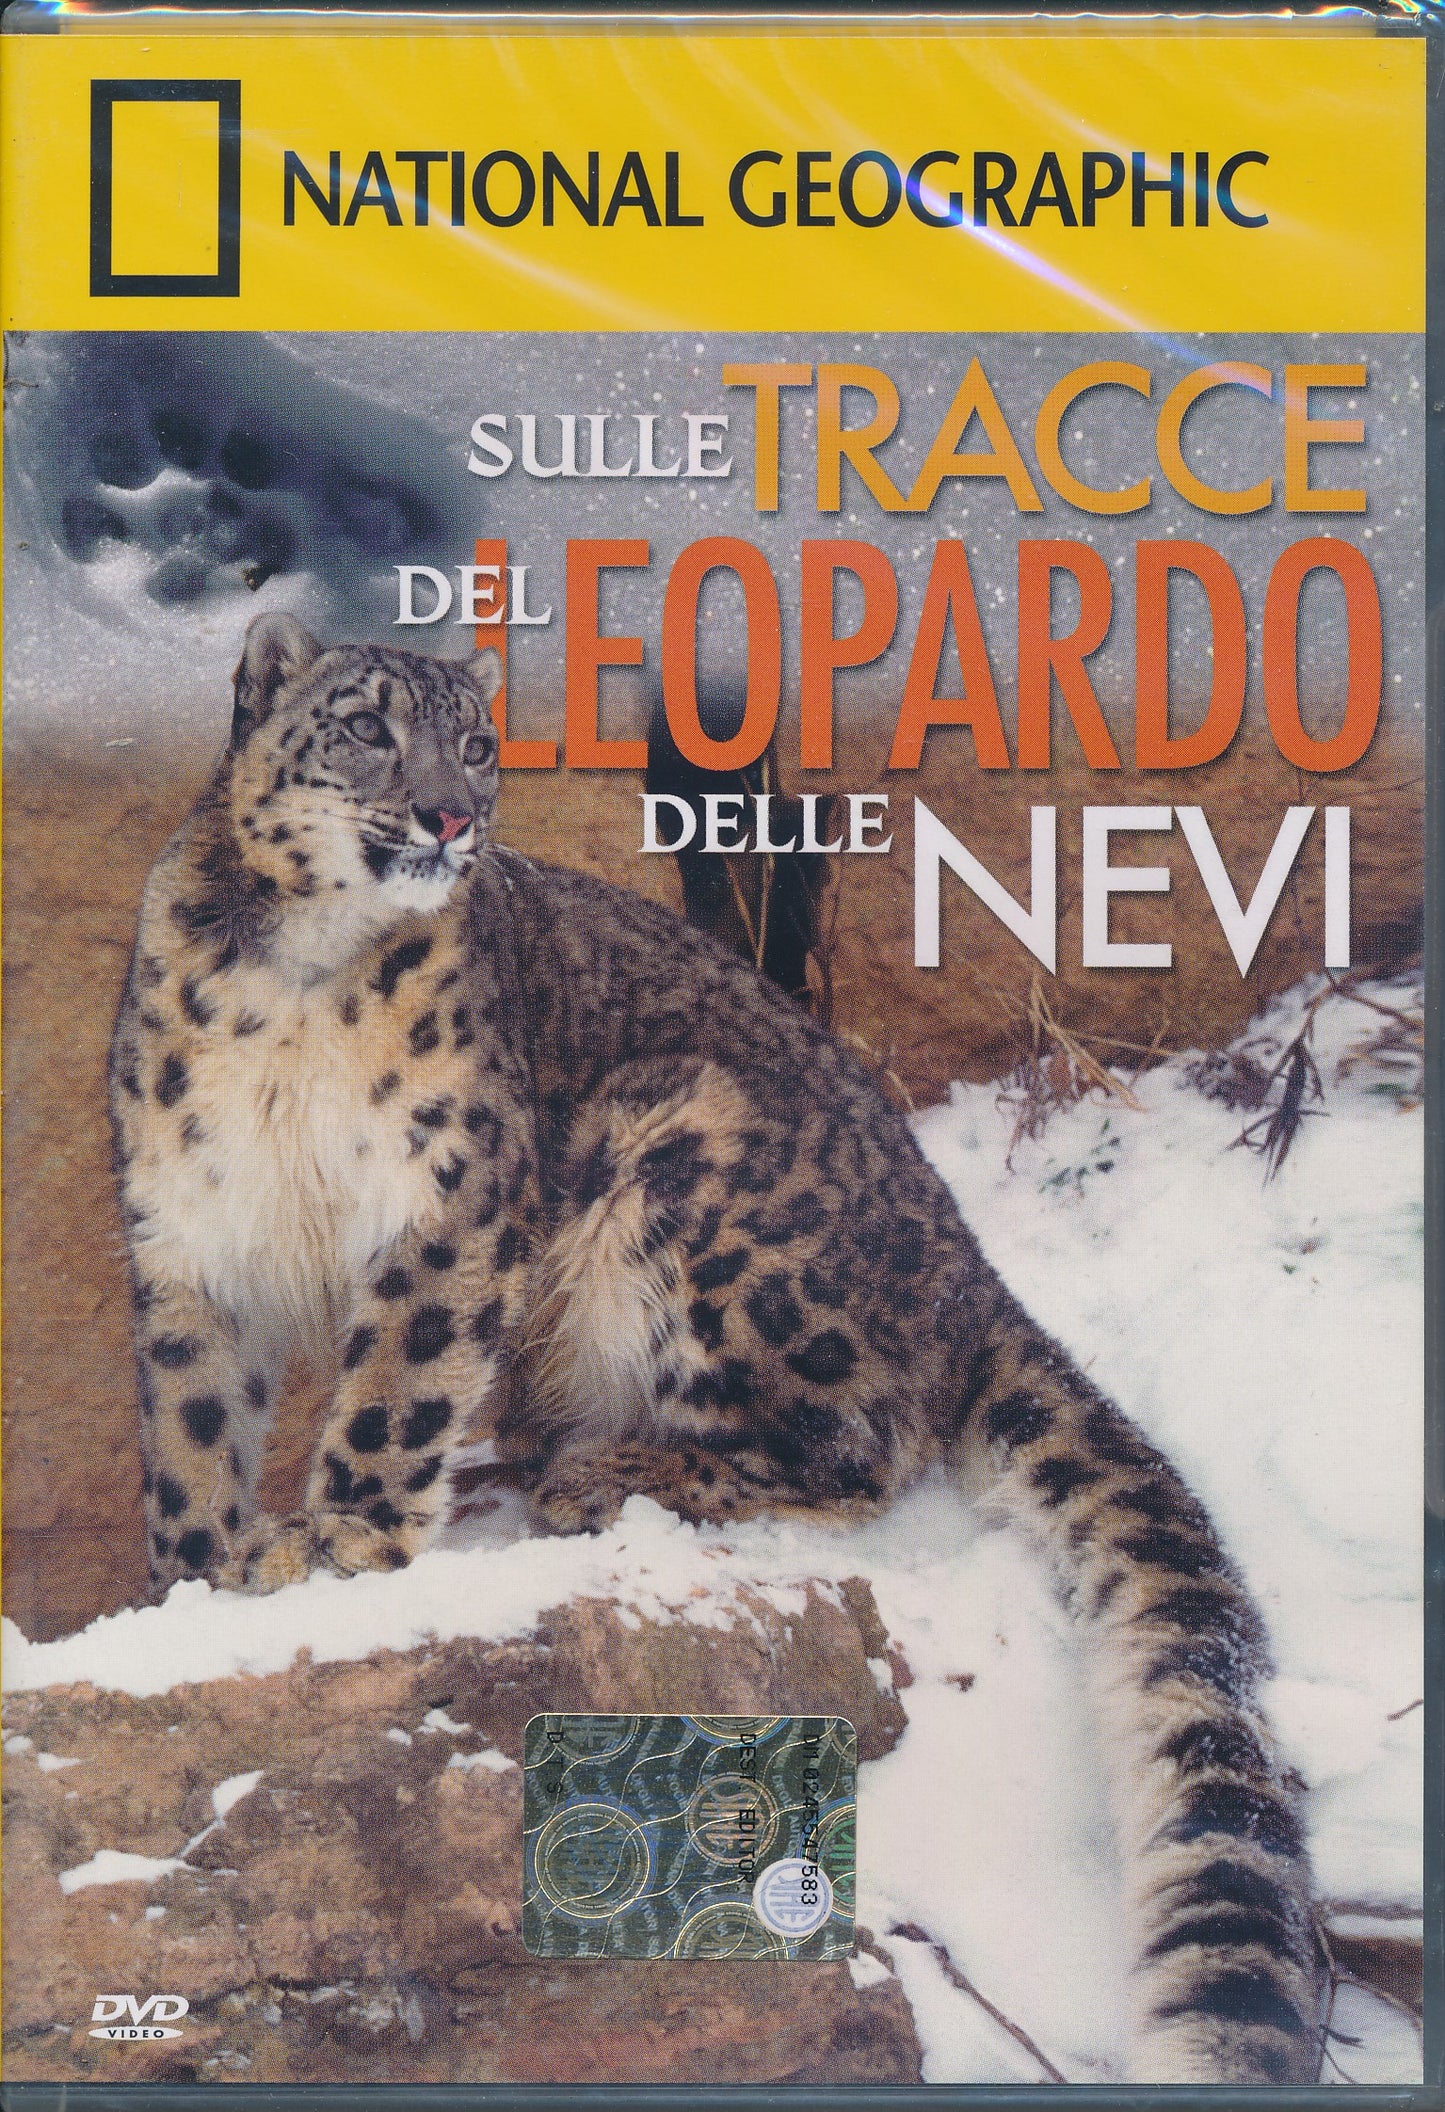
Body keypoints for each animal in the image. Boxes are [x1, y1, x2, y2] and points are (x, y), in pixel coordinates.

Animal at [110, 613, 1321, 2085]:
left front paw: (336, 1546)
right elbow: (191, 1436)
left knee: (857, 1445)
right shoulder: (188, 1233)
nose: (450, 814)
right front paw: (194, 1582)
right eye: (363, 725)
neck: (292, 983)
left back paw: (613, 1476)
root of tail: (963, 1259)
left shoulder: (451, 1199)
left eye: (476, 740)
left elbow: (394, 1391)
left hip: (690, 1175)